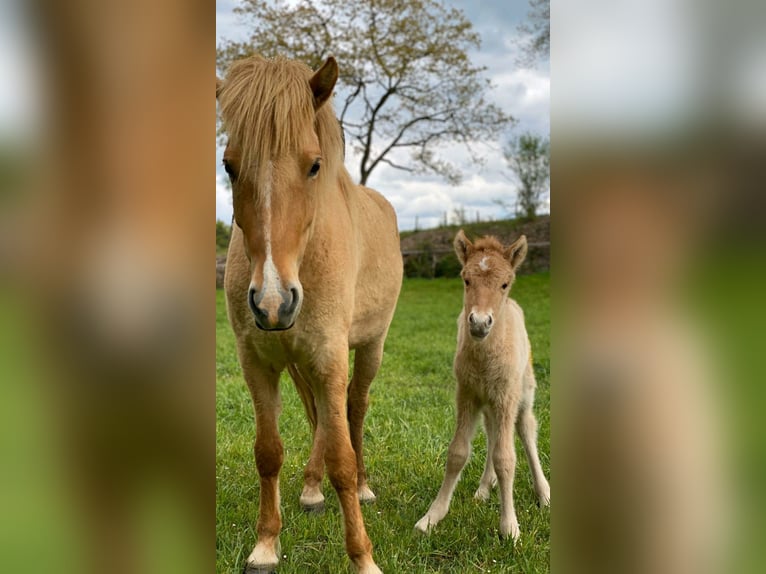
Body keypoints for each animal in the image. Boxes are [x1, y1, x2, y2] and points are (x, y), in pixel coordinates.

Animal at [216, 55, 402, 574]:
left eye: (314, 165)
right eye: (229, 165)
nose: (272, 302)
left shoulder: (329, 356)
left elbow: (342, 454)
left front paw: (363, 557)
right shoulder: (258, 363)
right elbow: (268, 452)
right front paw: (265, 544)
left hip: (369, 349)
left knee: (354, 410)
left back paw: (363, 486)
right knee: (318, 415)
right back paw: (312, 489)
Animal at [414, 232, 552, 544]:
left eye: (505, 283)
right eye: (466, 280)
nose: (479, 323)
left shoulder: (505, 397)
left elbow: (506, 458)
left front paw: (510, 528)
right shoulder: (466, 394)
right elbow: (457, 453)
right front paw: (432, 517)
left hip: (522, 393)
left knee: (525, 430)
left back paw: (544, 493)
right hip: (488, 403)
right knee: (491, 434)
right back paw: (484, 489)